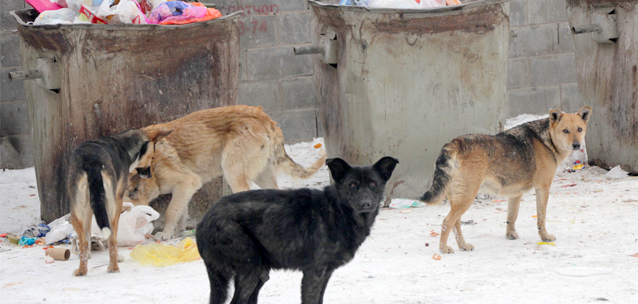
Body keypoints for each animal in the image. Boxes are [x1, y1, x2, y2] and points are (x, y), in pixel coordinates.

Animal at [124, 105, 328, 241]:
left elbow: (171, 212)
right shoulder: (183, 189)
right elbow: (181, 213)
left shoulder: (188, 182)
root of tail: (262, 116)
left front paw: (165, 234)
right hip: (260, 175)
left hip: (232, 172)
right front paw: (178, 233)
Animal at [195, 157, 400, 304]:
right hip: (250, 272)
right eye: (353, 185)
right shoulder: (313, 274)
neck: (337, 211)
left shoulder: (325, 274)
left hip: (259, 275)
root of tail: (203, 222)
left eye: (373, 184)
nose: (366, 203)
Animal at [420, 107, 596, 254]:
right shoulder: (543, 188)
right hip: (467, 196)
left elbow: (512, 217)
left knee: (455, 223)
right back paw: (443, 249)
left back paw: (463, 246)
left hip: (459, 198)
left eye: (579, 129)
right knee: (446, 222)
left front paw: (510, 235)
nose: (577, 145)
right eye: (565, 131)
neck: (546, 141)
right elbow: (541, 217)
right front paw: (545, 237)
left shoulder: (516, 194)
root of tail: (454, 142)